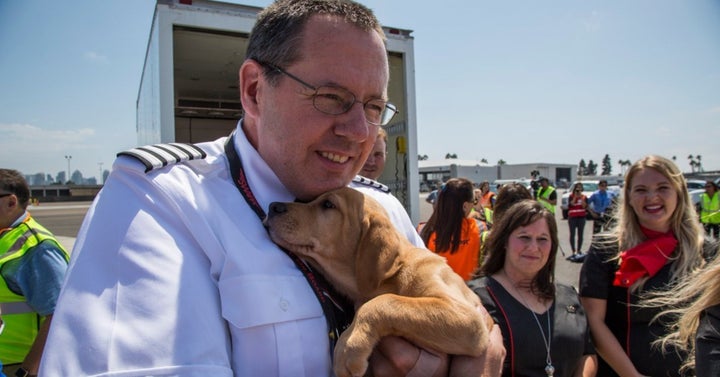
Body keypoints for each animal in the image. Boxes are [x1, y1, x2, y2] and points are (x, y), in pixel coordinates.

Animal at [264, 187, 496, 374]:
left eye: (328, 205)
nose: (272, 206)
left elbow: (385, 301)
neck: (392, 277)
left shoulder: (467, 318)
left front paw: (348, 346)